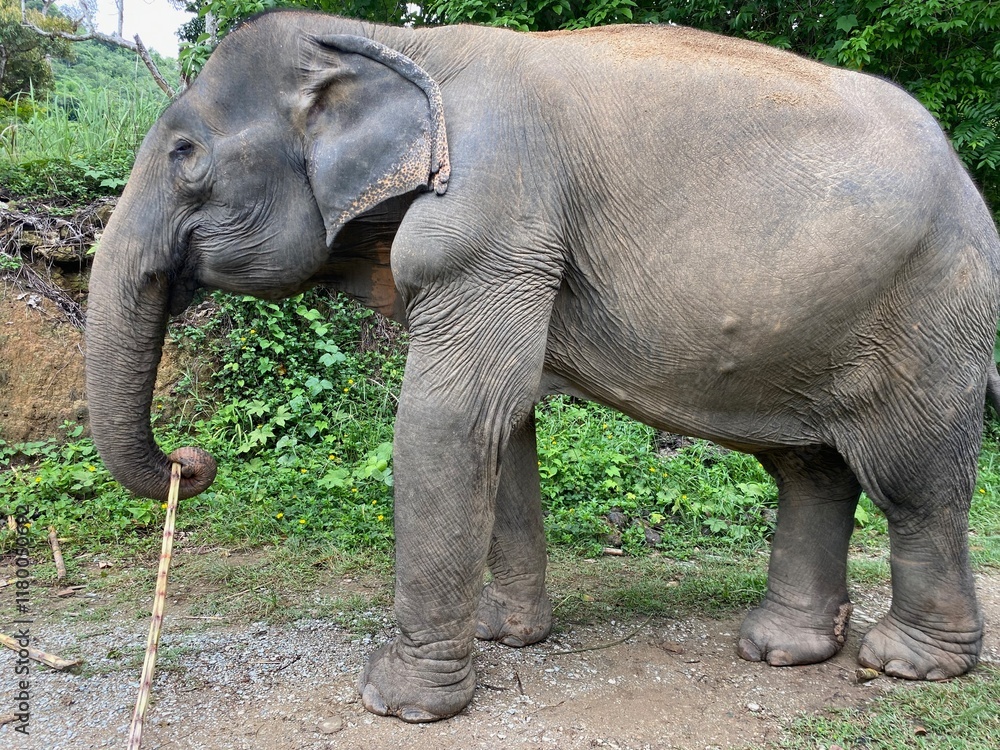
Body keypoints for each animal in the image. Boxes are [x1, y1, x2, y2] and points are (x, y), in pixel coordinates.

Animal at [84, 10, 1000, 724]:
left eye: (186, 154)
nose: (191, 461)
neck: (394, 42)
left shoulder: (489, 220)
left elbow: (450, 419)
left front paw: (400, 702)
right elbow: (504, 424)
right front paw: (505, 636)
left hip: (931, 309)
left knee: (914, 481)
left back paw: (905, 664)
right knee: (811, 468)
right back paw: (780, 649)